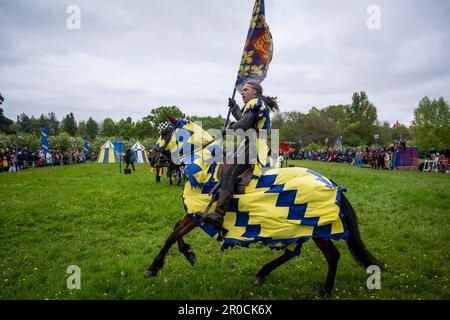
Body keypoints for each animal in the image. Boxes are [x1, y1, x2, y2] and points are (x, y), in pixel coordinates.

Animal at [144, 116, 384, 294]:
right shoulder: (193, 214)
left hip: (318, 229)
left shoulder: (196, 214)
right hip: (300, 229)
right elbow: (176, 230)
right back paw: (262, 273)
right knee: (292, 252)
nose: (151, 155)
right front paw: (187, 252)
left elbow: (173, 234)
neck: (204, 165)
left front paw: (154, 266)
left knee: (332, 256)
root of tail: (332, 184)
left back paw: (325, 290)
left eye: (165, 133)